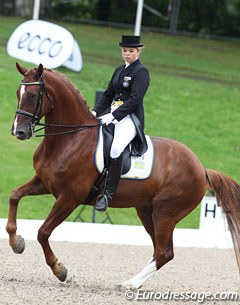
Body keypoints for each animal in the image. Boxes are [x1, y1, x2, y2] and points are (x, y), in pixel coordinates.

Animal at [6, 63, 240, 288]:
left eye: (32, 95)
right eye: (18, 92)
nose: (19, 132)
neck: (71, 139)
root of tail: (201, 168)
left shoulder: (70, 198)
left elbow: (43, 232)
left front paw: (59, 269)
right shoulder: (44, 183)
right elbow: (14, 195)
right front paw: (16, 242)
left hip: (165, 213)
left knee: (164, 252)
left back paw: (130, 284)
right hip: (147, 210)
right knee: (159, 250)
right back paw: (135, 283)